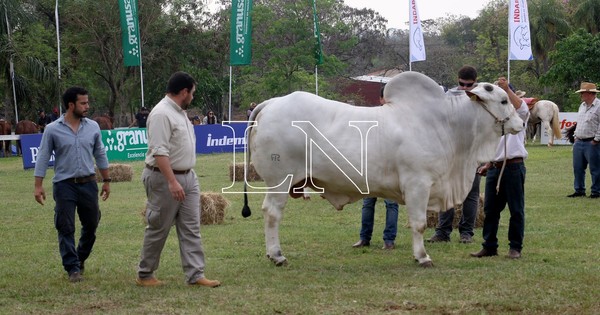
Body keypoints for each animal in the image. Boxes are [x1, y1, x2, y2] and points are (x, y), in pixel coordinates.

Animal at [241, 71, 524, 266]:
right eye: (502, 101)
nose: (521, 123)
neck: (446, 124)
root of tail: (272, 103)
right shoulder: (418, 184)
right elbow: (419, 224)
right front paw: (422, 257)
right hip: (280, 181)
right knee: (272, 214)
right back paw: (277, 255)